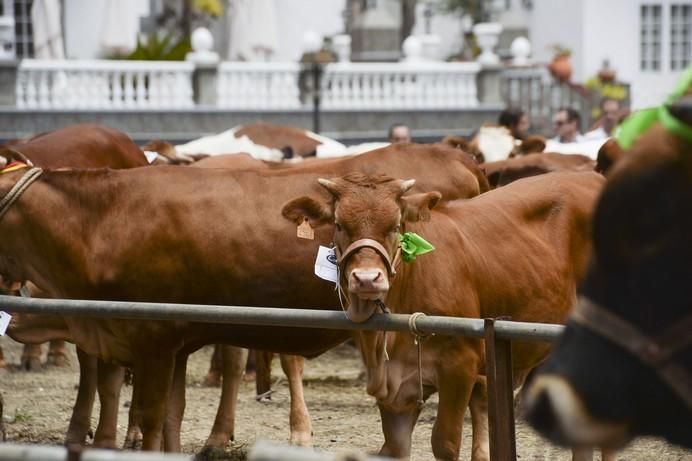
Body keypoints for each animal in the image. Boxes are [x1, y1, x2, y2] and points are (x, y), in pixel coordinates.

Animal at [284, 171, 604, 458]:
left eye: (396, 225)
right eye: (339, 224)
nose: (366, 278)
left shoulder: (460, 366)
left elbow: (445, 443)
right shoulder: (396, 392)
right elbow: (394, 447)